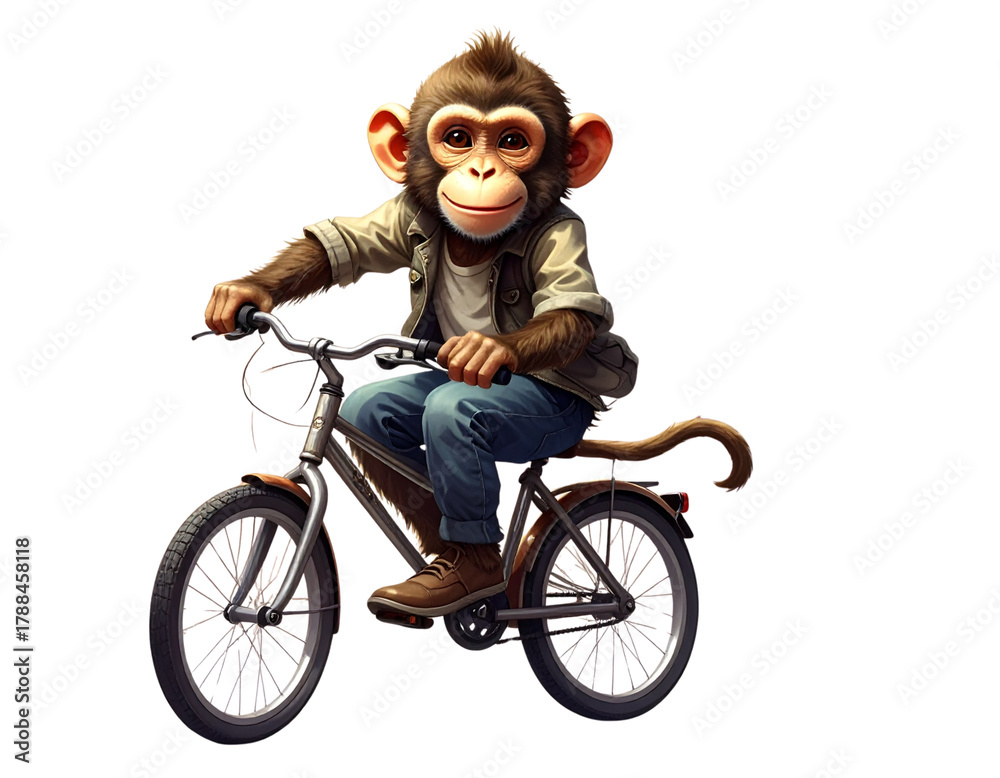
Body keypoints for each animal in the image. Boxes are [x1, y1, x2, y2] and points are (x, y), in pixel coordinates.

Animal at [205, 32, 751, 618]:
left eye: (512, 141)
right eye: (458, 139)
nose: (482, 172)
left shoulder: (560, 230)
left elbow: (570, 308)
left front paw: (485, 353)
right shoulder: (409, 211)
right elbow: (342, 246)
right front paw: (238, 296)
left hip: (546, 424)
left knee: (474, 435)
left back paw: (489, 579)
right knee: (375, 415)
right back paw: (452, 567)